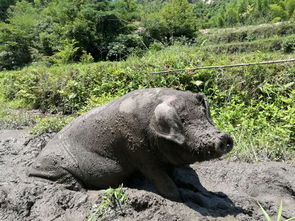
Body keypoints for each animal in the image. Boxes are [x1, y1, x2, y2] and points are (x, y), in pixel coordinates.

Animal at [28, 87, 235, 200]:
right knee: (70, 183)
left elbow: (175, 174)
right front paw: (179, 197)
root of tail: (31, 167)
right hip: (53, 167)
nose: (224, 138)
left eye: (202, 114)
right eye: (183, 121)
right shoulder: (139, 152)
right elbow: (160, 178)